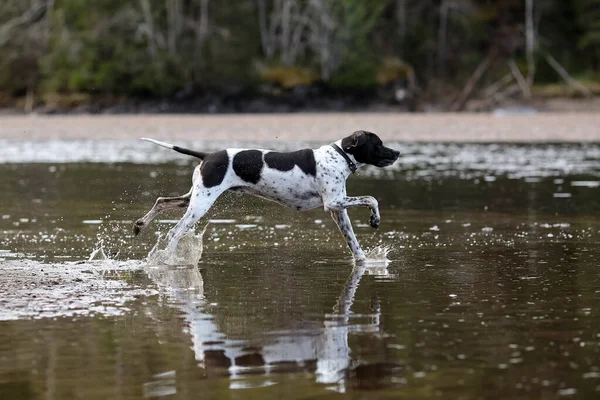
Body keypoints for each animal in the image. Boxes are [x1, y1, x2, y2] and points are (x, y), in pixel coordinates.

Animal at [134, 131, 400, 260]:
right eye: (378, 143)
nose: (397, 152)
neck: (340, 156)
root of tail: (207, 155)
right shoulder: (333, 203)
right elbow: (372, 199)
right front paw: (375, 219)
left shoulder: (339, 211)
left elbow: (354, 244)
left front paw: (365, 262)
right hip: (200, 204)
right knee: (175, 231)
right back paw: (167, 259)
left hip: (192, 198)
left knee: (161, 202)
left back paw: (140, 225)